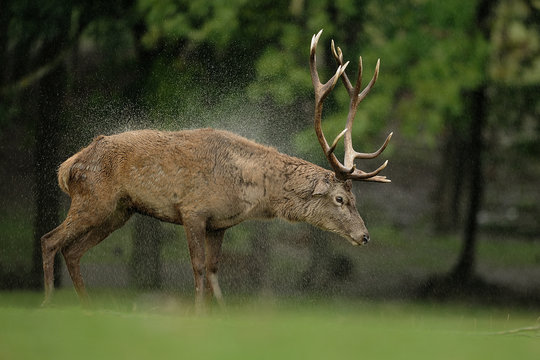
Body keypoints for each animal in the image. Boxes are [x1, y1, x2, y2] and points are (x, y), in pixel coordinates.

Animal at [39, 29, 392, 310]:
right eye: (339, 199)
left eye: (355, 198)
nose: (365, 236)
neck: (247, 190)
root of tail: (67, 166)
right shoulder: (193, 209)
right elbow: (197, 267)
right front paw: (198, 312)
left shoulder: (219, 224)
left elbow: (212, 269)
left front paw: (215, 312)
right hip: (93, 198)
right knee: (50, 239)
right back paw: (48, 302)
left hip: (118, 211)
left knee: (73, 250)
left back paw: (87, 308)